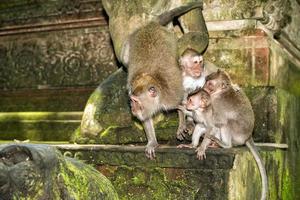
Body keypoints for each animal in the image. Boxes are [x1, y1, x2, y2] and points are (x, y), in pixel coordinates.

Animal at [124, 1, 202, 159]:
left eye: (135, 102)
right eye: (131, 101)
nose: (132, 109)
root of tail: (151, 25)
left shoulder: (172, 95)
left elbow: (183, 103)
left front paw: (182, 125)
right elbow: (146, 119)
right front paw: (152, 142)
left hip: (171, 38)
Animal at [203, 70, 268, 200]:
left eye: (210, 84)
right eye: (206, 81)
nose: (204, 88)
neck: (222, 91)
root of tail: (248, 136)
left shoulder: (216, 102)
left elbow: (218, 122)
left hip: (237, 135)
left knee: (227, 123)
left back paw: (225, 145)